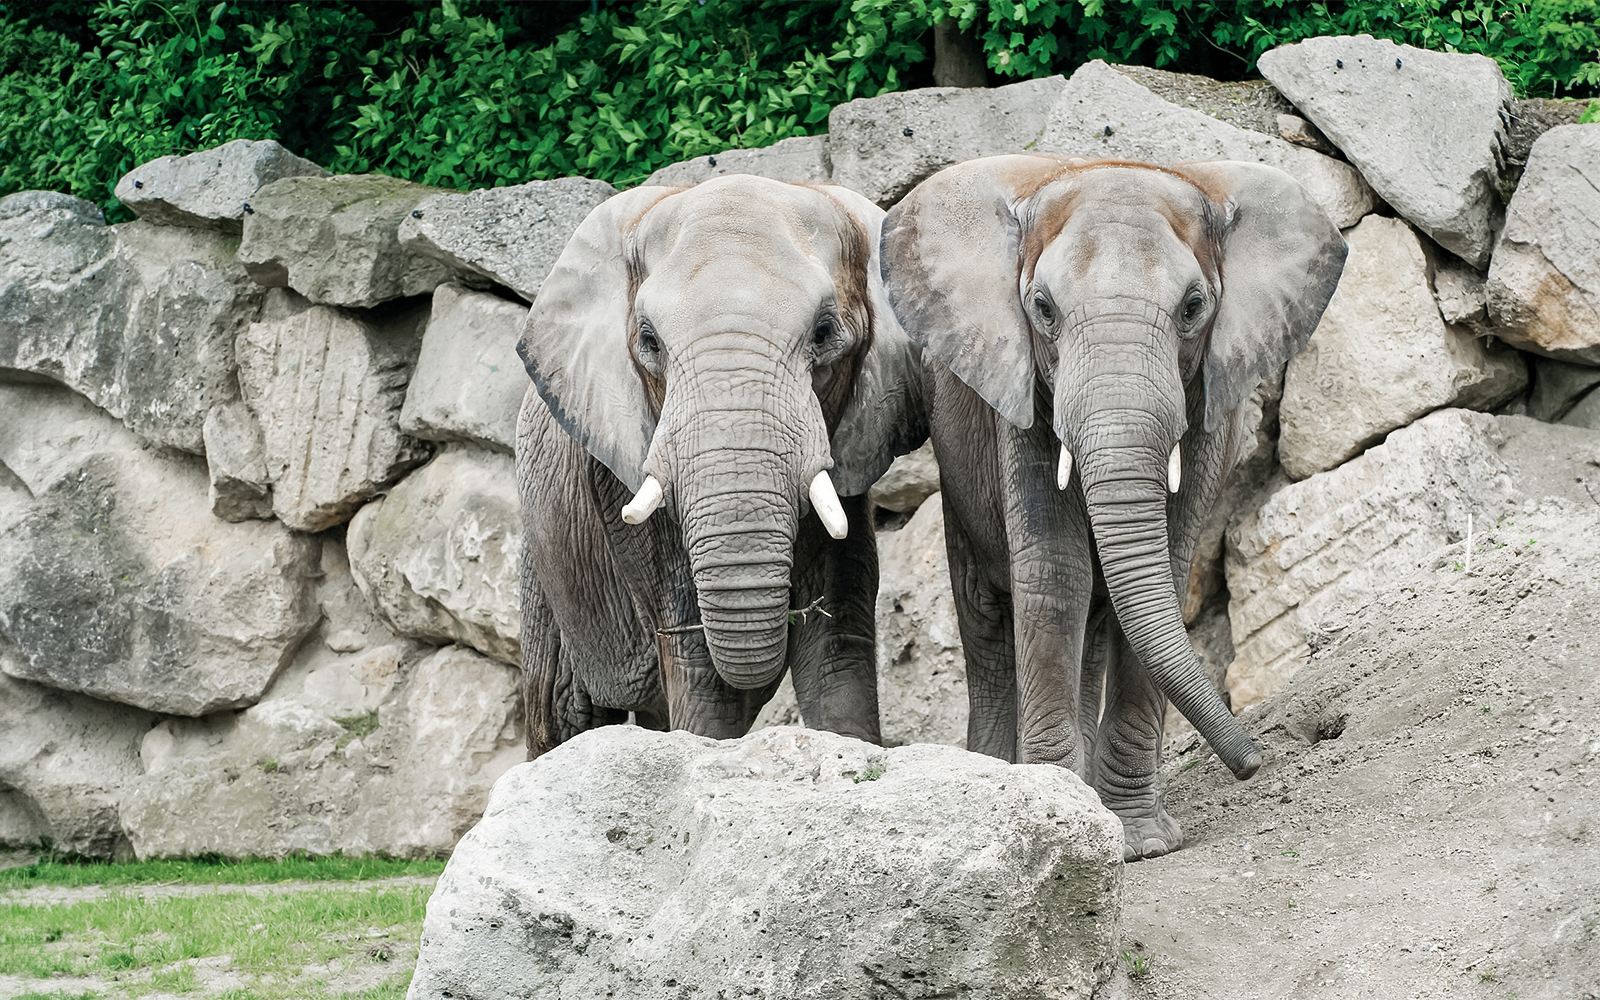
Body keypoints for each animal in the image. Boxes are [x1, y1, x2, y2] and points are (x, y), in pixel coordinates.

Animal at [881, 155, 1346, 859]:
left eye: (1193, 307)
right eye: (1042, 308)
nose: (1255, 763)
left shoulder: (1209, 400)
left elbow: (1167, 571)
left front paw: (1141, 842)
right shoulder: (1019, 395)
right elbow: (1056, 574)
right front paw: (1061, 816)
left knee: (1104, 620)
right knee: (988, 614)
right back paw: (995, 772)